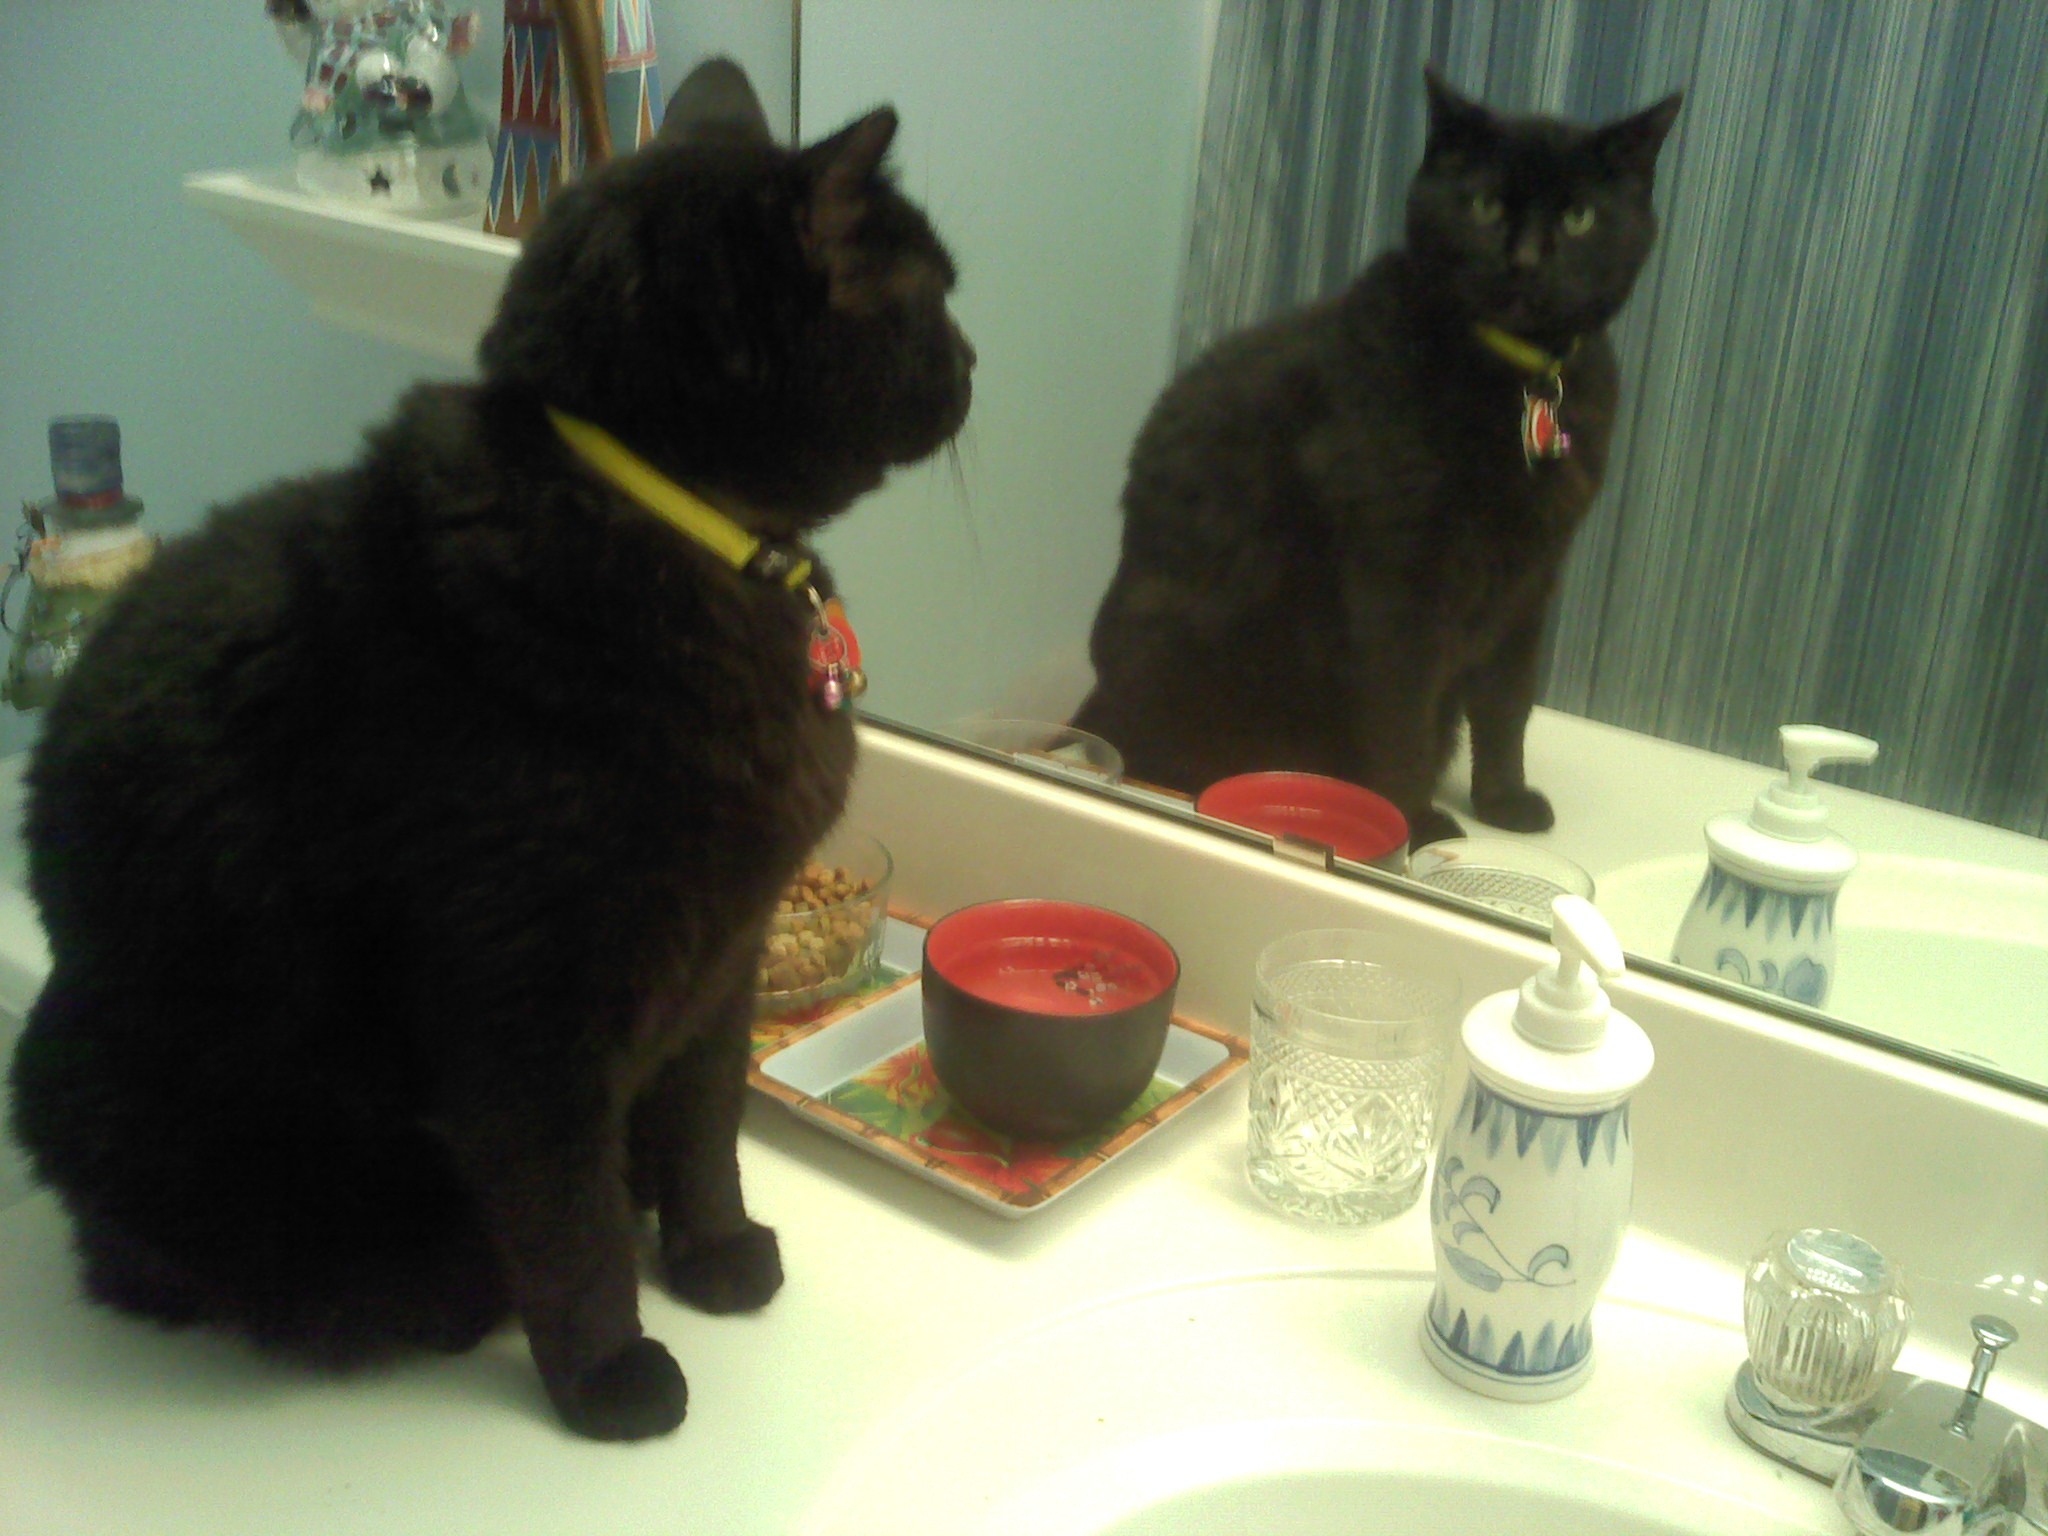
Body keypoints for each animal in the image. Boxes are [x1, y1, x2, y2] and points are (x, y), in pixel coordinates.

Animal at [5, 58, 972, 1442]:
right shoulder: (522, 1009)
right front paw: (612, 1375)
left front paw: (714, 1256)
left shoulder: (723, 952)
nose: (974, 360)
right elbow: (566, 1221)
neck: (681, 538)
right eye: (928, 294)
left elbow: (706, 1123)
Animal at [1071, 71, 1680, 848]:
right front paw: (1409, 827)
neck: (1514, 380)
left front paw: (1504, 801)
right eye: (1484, 204)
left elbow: (1508, 703)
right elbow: (1401, 717)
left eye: (1578, 217)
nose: (1526, 261)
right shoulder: (1400, 577)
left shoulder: (1532, 578)